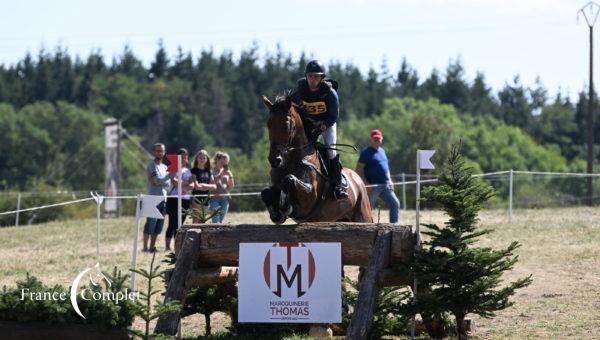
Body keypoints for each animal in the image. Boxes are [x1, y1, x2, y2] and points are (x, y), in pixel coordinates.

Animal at [262, 94, 372, 224]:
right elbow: (265, 192)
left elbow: (289, 179)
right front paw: (276, 214)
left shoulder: (310, 197)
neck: (290, 161)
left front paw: (285, 206)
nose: (275, 160)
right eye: (269, 124)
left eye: (286, 125)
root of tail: (358, 179)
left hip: (363, 215)